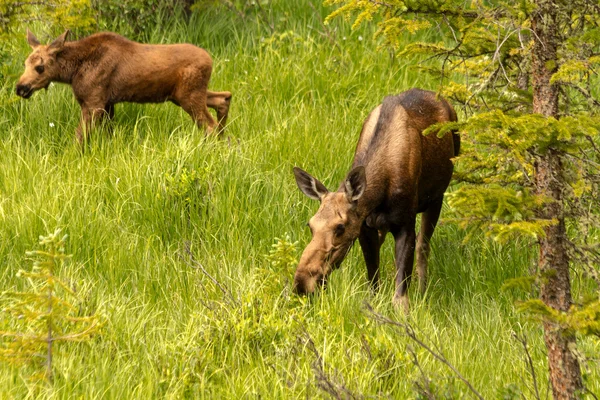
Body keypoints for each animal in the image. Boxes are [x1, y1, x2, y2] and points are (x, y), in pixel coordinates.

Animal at [15, 30, 232, 144]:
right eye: (24, 63)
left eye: (40, 67)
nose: (20, 87)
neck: (72, 72)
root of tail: (210, 61)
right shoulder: (108, 103)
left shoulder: (94, 103)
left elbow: (79, 138)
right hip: (187, 94)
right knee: (224, 98)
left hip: (189, 96)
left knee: (211, 126)